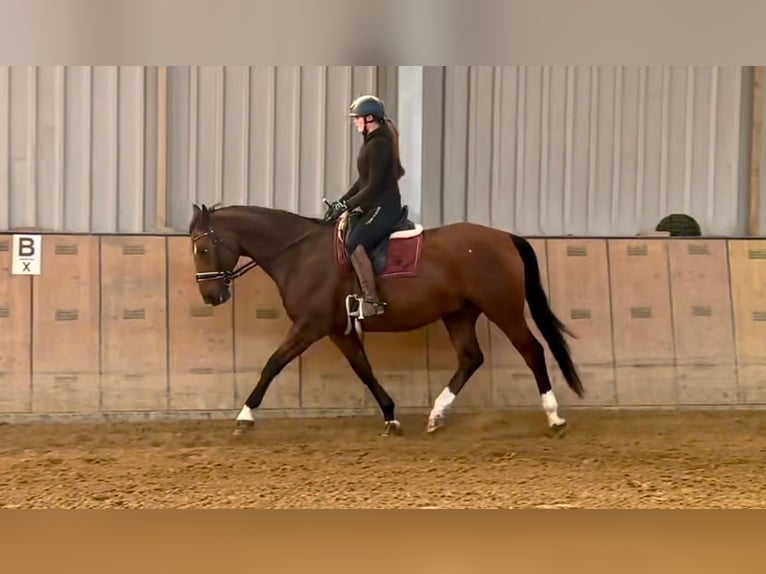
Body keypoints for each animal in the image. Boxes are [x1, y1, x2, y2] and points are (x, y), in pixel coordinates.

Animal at [189, 201, 584, 436]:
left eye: (204, 248)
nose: (211, 297)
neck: (300, 254)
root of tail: (505, 237)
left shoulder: (310, 325)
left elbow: (273, 363)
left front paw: (244, 416)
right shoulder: (338, 330)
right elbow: (363, 369)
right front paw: (391, 415)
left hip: (502, 308)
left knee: (532, 350)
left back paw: (554, 416)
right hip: (459, 313)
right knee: (471, 358)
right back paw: (436, 414)